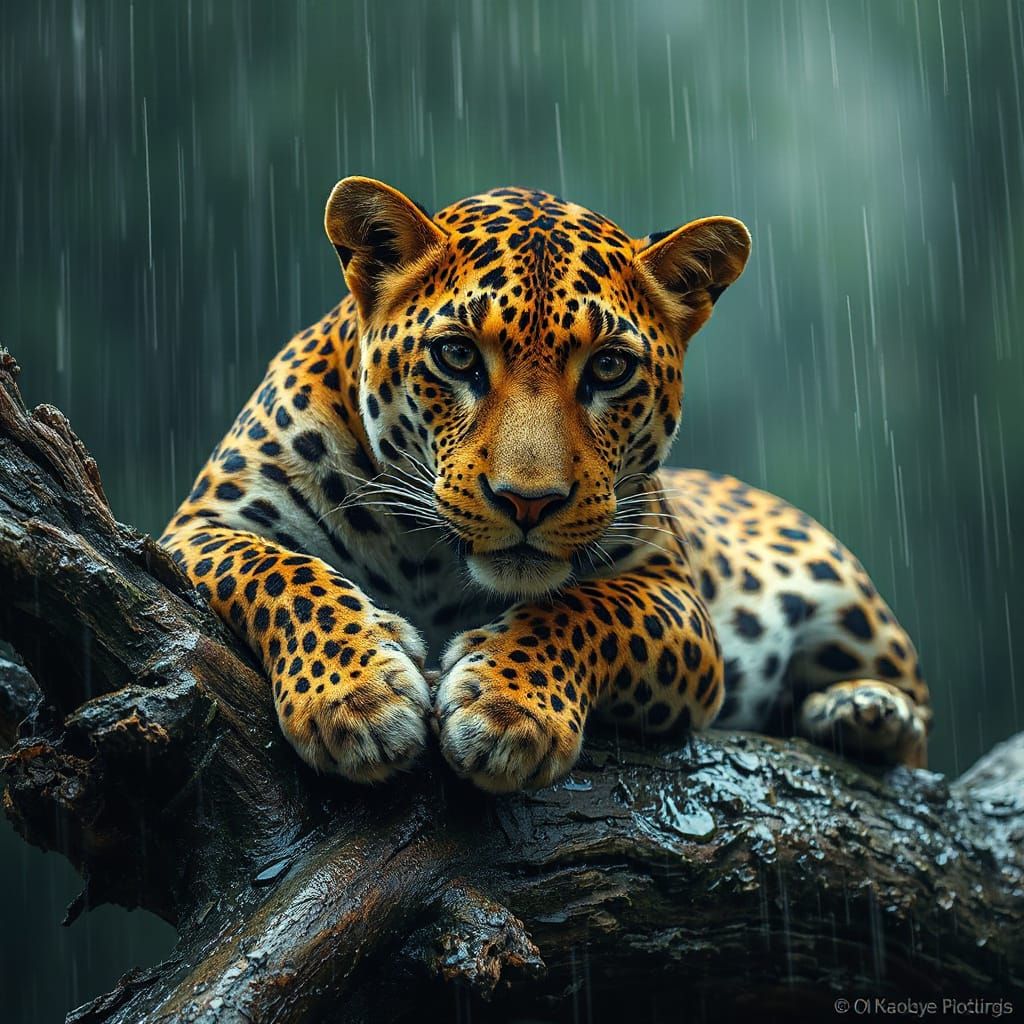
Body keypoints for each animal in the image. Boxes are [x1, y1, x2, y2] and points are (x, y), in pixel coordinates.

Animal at [161, 177, 931, 793]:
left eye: (610, 368)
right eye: (457, 356)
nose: (527, 501)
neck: (430, 560)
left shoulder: (673, 594)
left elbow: (587, 608)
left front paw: (507, 710)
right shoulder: (203, 527)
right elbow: (283, 574)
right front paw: (357, 699)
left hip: (846, 595)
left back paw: (866, 712)